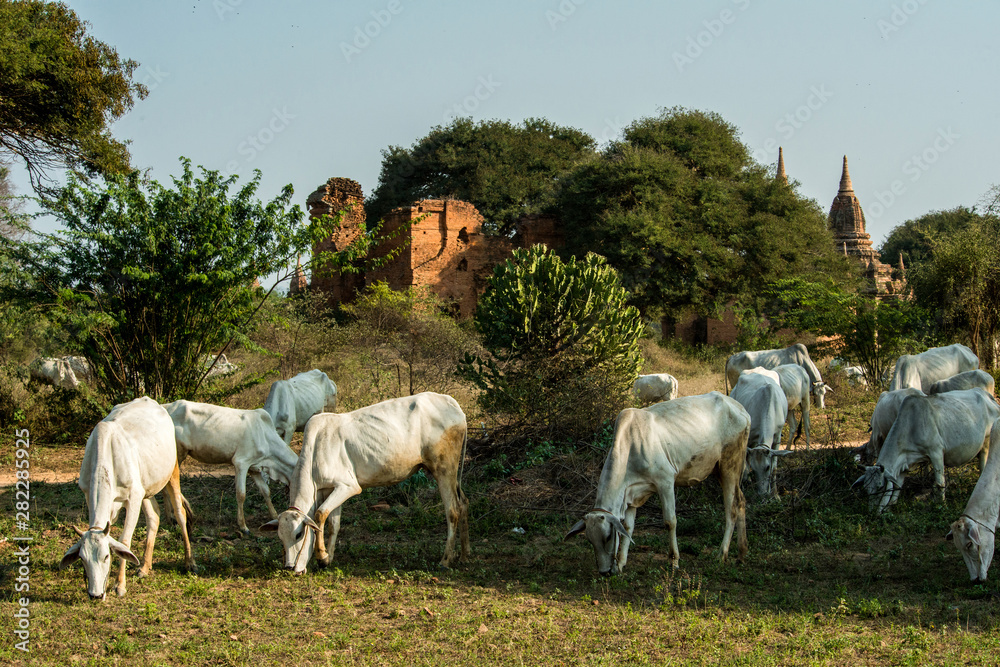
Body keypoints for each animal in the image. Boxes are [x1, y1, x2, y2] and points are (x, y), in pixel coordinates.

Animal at [60, 397, 195, 599]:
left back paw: (189, 562)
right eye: (82, 559)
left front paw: (119, 584)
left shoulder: (132, 498)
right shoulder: (89, 494)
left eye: (106, 556)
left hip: (171, 472)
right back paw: (145, 567)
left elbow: (124, 541)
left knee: (180, 514)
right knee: (154, 516)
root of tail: (152, 401)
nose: (95, 595)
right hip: (144, 488)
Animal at [163, 400, 299, 534]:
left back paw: (169, 519)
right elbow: (241, 494)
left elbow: (265, 491)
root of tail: (166, 406)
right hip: (179, 454)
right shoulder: (241, 463)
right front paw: (243, 526)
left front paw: (274, 516)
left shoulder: (254, 467)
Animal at [260, 392, 469, 573]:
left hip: (444, 469)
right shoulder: (330, 489)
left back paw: (445, 560)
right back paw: (464, 556)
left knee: (453, 510)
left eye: (298, 534)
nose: (289, 567)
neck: (314, 452)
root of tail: (453, 404)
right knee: (464, 503)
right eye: (280, 537)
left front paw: (321, 557)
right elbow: (333, 523)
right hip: (448, 474)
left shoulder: (348, 486)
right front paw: (329, 557)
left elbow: (320, 515)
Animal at [564, 392, 750, 574]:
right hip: (719, 469)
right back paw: (741, 554)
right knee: (741, 501)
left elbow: (670, 521)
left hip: (729, 465)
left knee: (732, 508)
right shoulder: (631, 494)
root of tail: (740, 409)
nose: (604, 571)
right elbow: (628, 527)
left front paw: (674, 561)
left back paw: (722, 554)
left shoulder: (665, 482)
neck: (630, 448)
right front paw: (621, 563)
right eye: (590, 540)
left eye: (608, 536)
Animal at [853, 388, 1000, 512]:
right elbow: (898, 486)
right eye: (866, 488)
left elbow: (940, 483)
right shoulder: (905, 462)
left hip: (986, 443)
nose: (872, 511)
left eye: (880, 486)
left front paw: (942, 505)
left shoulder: (936, 453)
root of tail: (988, 396)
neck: (910, 426)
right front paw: (891, 506)